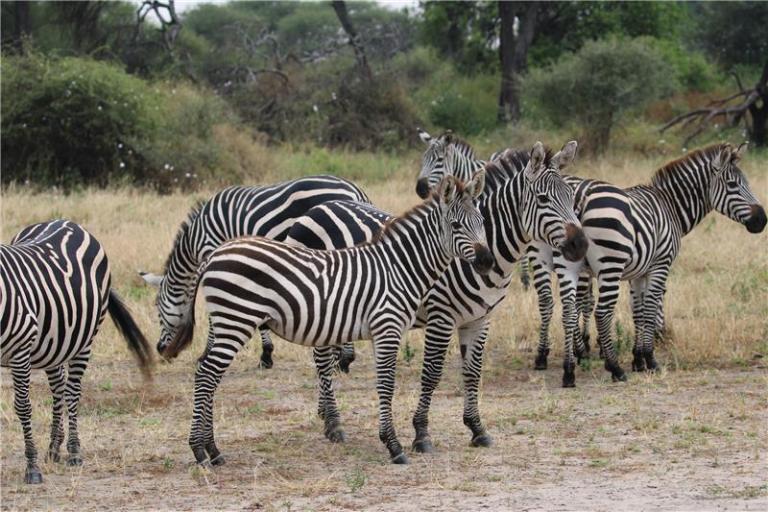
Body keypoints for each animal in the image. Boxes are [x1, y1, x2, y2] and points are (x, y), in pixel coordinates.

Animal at [1, 220, 153, 484]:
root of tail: (68, 222)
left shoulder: (21, 349)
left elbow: (22, 406)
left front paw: (32, 467)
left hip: (85, 340)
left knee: (72, 391)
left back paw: (73, 452)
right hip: (54, 341)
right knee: (58, 387)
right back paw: (54, 447)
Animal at [138, 177, 369, 371]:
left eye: (157, 309)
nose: (160, 350)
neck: (196, 238)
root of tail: (355, 189)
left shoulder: (213, 253)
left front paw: (207, 354)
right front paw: (267, 354)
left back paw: (342, 359)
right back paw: (343, 357)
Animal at [285, 140, 588, 452]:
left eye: (572, 197)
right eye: (543, 198)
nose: (580, 244)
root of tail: (318, 207)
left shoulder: (480, 319)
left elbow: (472, 372)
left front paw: (476, 428)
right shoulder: (441, 316)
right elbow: (432, 373)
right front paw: (421, 433)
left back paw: (326, 415)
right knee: (321, 359)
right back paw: (334, 424)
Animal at [533, 142, 766, 384]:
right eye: (733, 185)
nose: (762, 220)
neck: (670, 205)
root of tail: (579, 196)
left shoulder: (638, 272)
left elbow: (638, 310)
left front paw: (638, 359)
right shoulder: (660, 265)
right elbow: (651, 306)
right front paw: (650, 359)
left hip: (567, 262)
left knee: (568, 311)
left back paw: (569, 371)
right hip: (609, 265)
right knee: (602, 312)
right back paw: (614, 368)